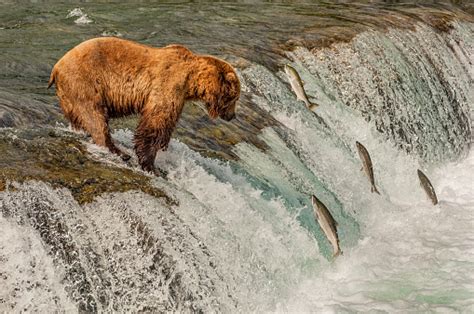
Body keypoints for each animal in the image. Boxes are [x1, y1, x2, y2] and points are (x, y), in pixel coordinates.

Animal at [49, 36, 237, 177]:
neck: (192, 80)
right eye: (235, 98)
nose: (232, 116)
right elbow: (155, 122)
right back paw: (118, 151)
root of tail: (56, 67)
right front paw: (150, 164)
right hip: (84, 82)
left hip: (68, 95)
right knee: (94, 116)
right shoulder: (168, 84)